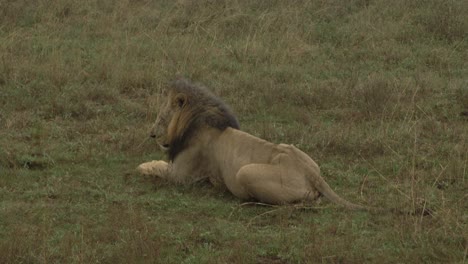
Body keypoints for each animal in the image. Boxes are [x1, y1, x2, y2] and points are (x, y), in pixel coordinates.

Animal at [135, 79, 372, 209]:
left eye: (162, 118)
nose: (151, 134)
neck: (194, 122)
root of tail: (312, 173)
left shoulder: (182, 175)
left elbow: (158, 166)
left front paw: (142, 166)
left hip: (245, 173)